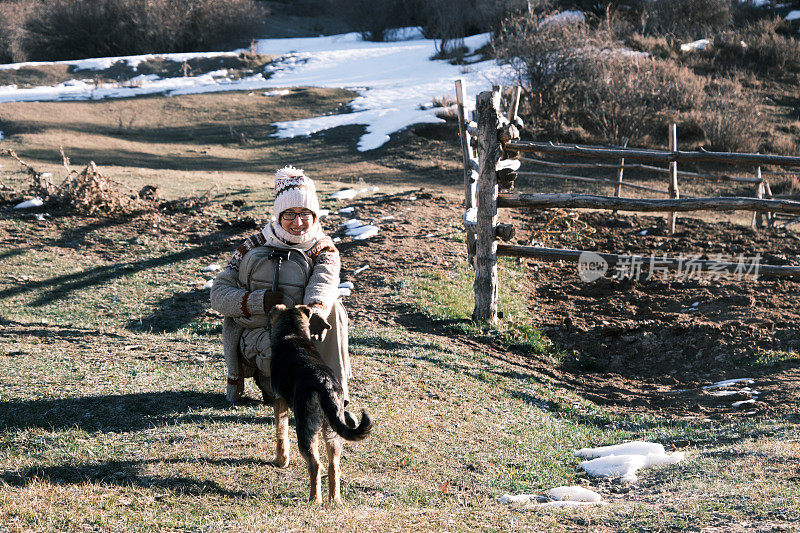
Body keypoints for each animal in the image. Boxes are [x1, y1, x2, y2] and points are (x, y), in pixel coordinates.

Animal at [266, 304, 372, 502]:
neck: (293, 335)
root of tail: (324, 384)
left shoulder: (279, 400)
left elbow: (281, 434)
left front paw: (281, 461)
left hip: (306, 430)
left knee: (315, 464)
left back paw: (315, 499)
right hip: (333, 432)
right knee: (333, 466)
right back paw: (334, 500)